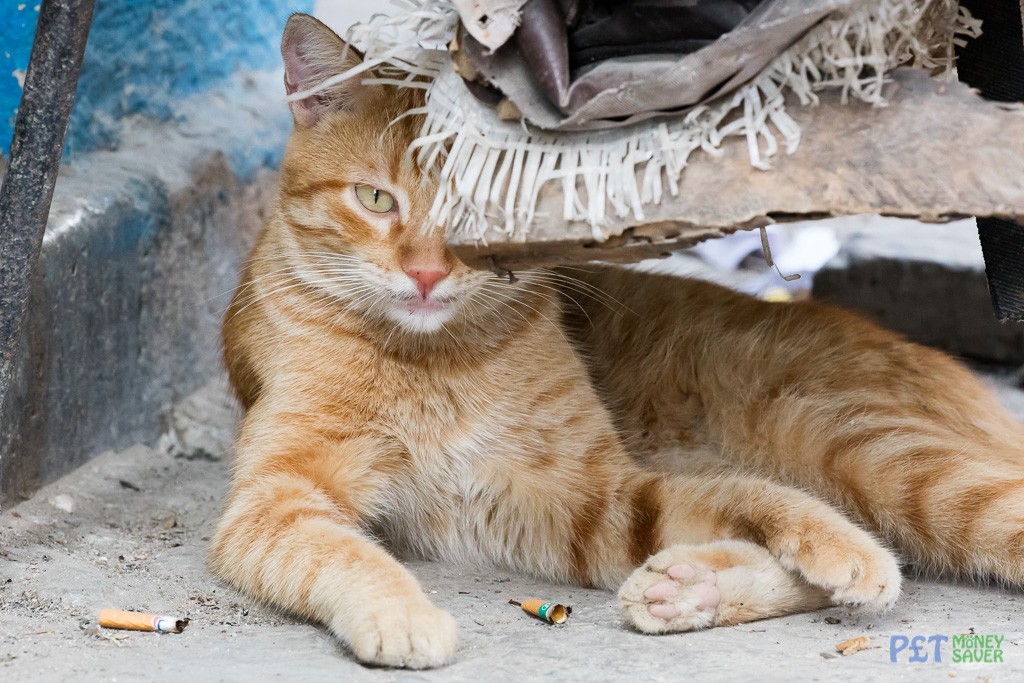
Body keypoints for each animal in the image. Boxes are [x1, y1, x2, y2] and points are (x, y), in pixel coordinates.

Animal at [211, 14, 1024, 667]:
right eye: (376, 199)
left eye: (481, 213)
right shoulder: (281, 499)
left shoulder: (589, 489)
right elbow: (340, 552)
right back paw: (686, 589)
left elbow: (751, 492)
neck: (436, 358)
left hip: (865, 449)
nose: (426, 273)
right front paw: (401, 615)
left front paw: (837, 542)